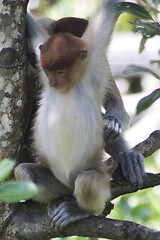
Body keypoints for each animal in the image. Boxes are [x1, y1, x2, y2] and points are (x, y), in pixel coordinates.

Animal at [14, 0, 146, 230]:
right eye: (49, 70)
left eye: (60, 71)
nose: (52, 83)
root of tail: (67, 185)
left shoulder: (95, 62)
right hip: (54, 181)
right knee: (25, 172)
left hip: (93, 177)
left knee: (88, 181)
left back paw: (77, 209)